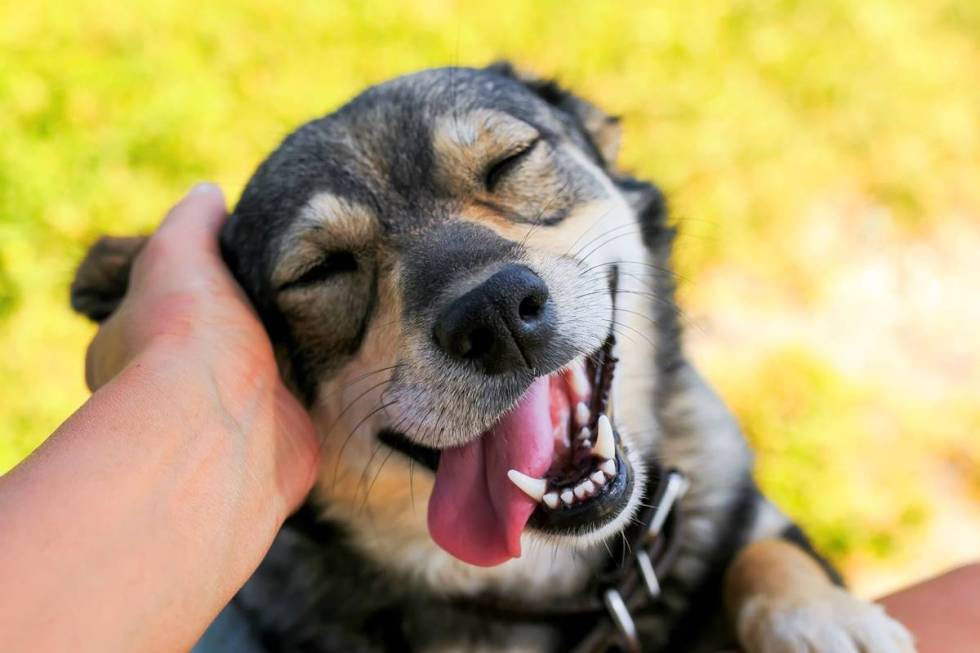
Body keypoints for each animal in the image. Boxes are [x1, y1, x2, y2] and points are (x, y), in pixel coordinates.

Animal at [71, 62, 920, 652]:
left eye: (511, 161)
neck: (575, 590)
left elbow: (766, 553)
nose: (494, 314)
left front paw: (821, 614)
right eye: (320, 271)